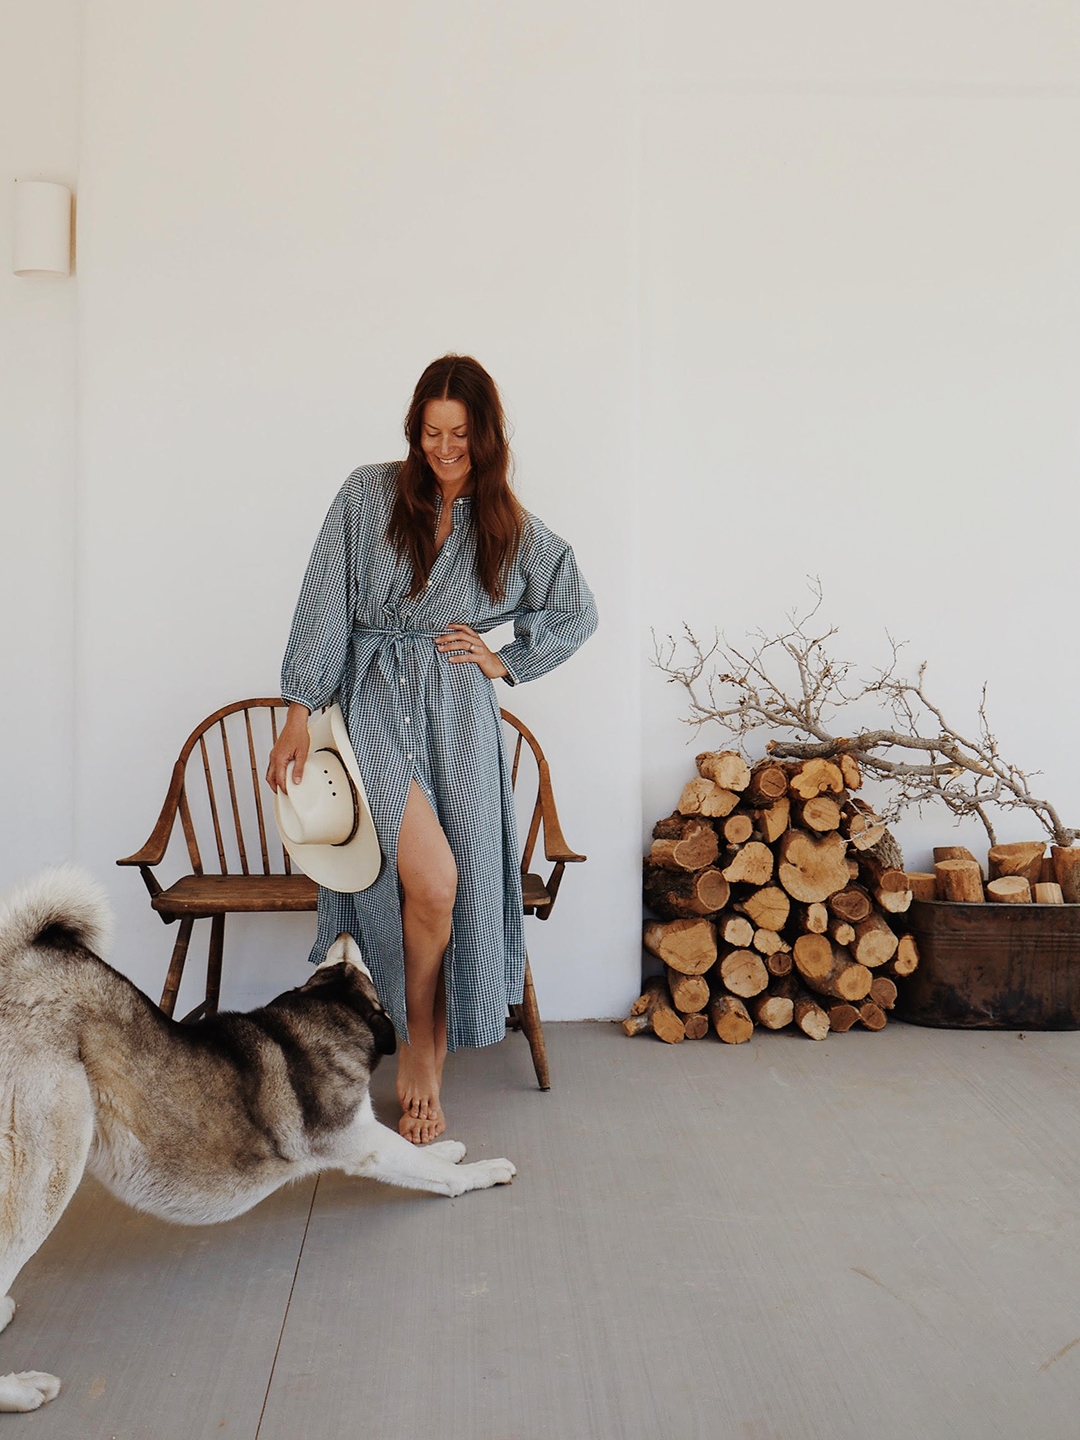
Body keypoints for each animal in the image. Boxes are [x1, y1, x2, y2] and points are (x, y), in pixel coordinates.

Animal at [0, 869, 515, 1411]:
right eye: (352, 969)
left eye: (332, 968)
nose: (343, 930)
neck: (320, 1018)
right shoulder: (360, 1139)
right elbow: (431, 1170)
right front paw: (480, 1171)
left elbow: (423, 1155)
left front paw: (449, 1150)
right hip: (48, 1169)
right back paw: (21, 1389)